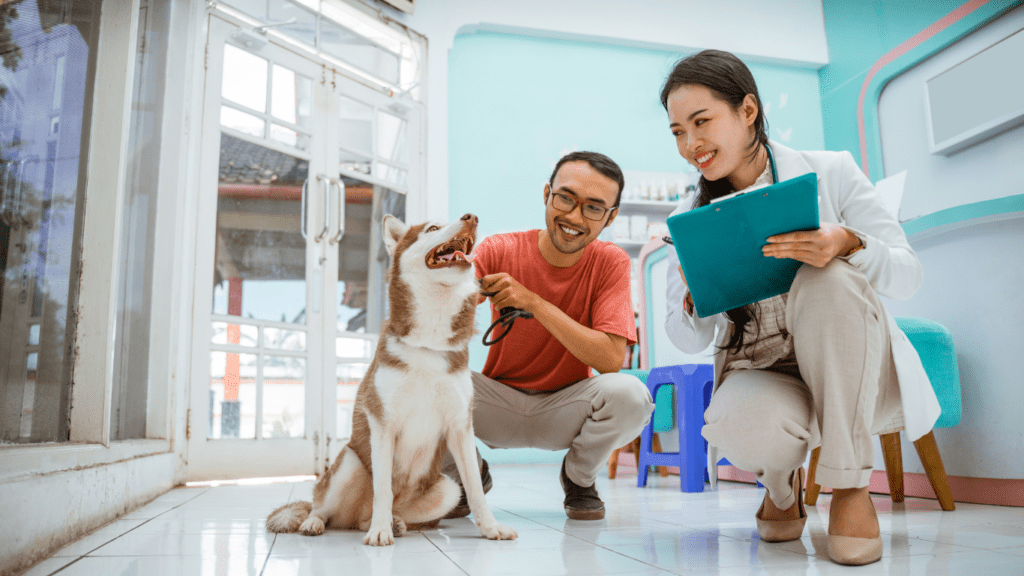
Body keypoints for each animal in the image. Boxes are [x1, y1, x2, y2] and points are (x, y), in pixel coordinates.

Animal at [266, 213, 516, 545]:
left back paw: (393, 523)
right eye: (432, 229)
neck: (429, 341)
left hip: (447, 489)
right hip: (349, 462)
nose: (471, 217)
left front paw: (490, 527)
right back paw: (321, 523)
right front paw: (380, 531)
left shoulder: (460, 427)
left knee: (368, 517)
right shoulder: (383, 424)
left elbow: (475, 488)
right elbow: (383, 488)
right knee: (323, 508)